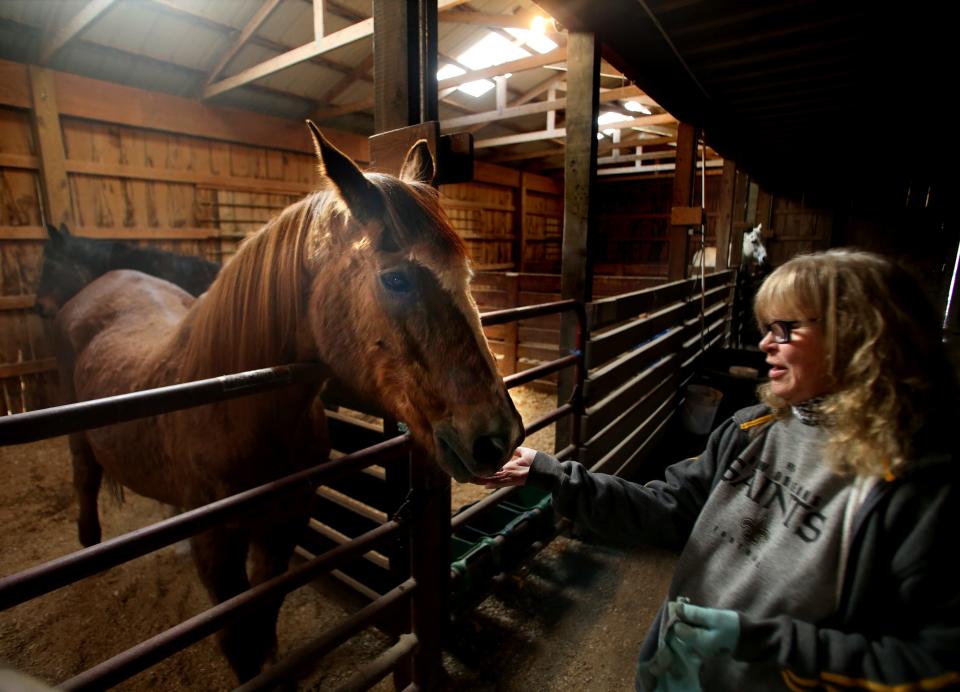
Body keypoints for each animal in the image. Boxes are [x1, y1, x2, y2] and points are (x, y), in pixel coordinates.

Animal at [53, 123, 524, 680]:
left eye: (468, 276)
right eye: (395, 278)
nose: (498, 436)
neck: (237, 414)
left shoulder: (283, 526)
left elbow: (266, 617)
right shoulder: (217, 547)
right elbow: (239, 642)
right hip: (80, 442)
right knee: (85, 483)